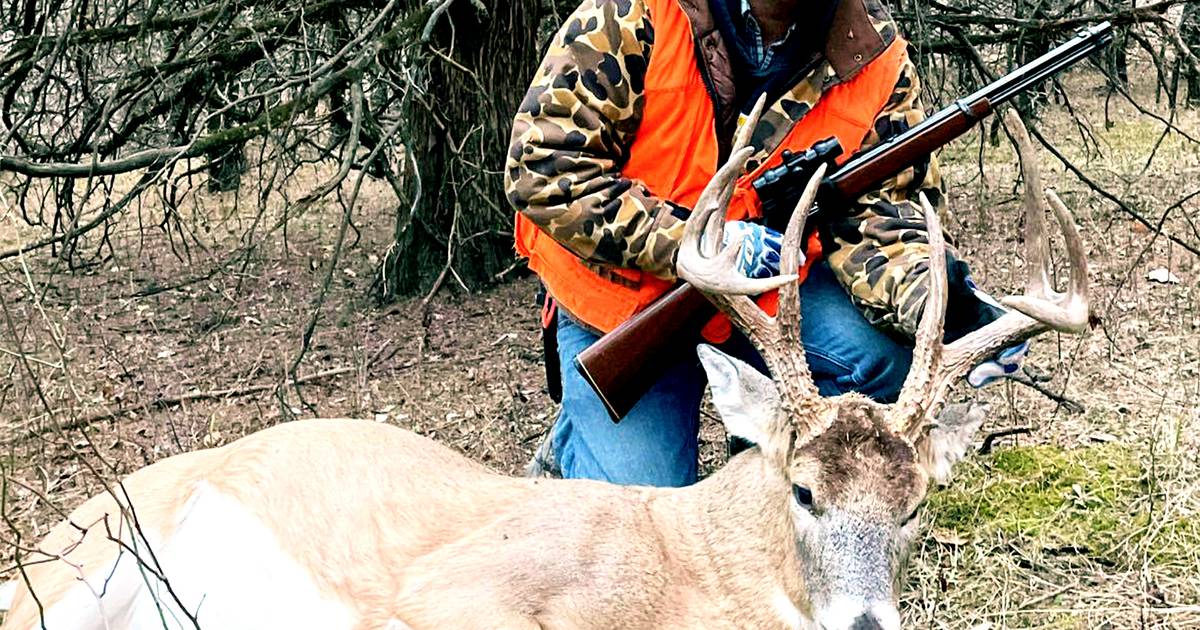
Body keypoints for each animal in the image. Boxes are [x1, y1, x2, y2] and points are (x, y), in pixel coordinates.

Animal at [1, 109, 1088, 630]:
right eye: (804, 490)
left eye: (915, 506)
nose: (865, 625)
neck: (693, 578)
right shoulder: (451, 593)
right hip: (71, 577)